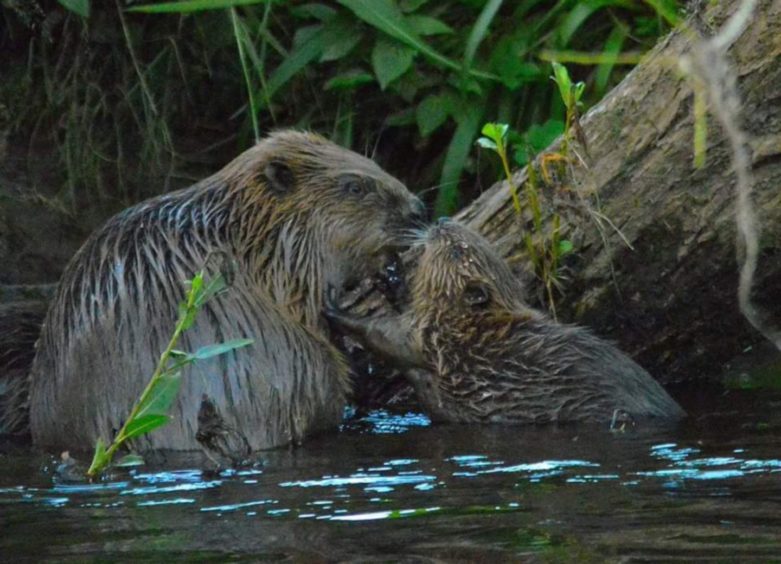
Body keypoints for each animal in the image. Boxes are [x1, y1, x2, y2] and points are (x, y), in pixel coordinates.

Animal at [326, 218, 684, 426]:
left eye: (458, 251)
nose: (441, 221)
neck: (472, 323)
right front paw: (392, 276)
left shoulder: (432, 337)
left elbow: (386, 336)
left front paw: (333, 308)